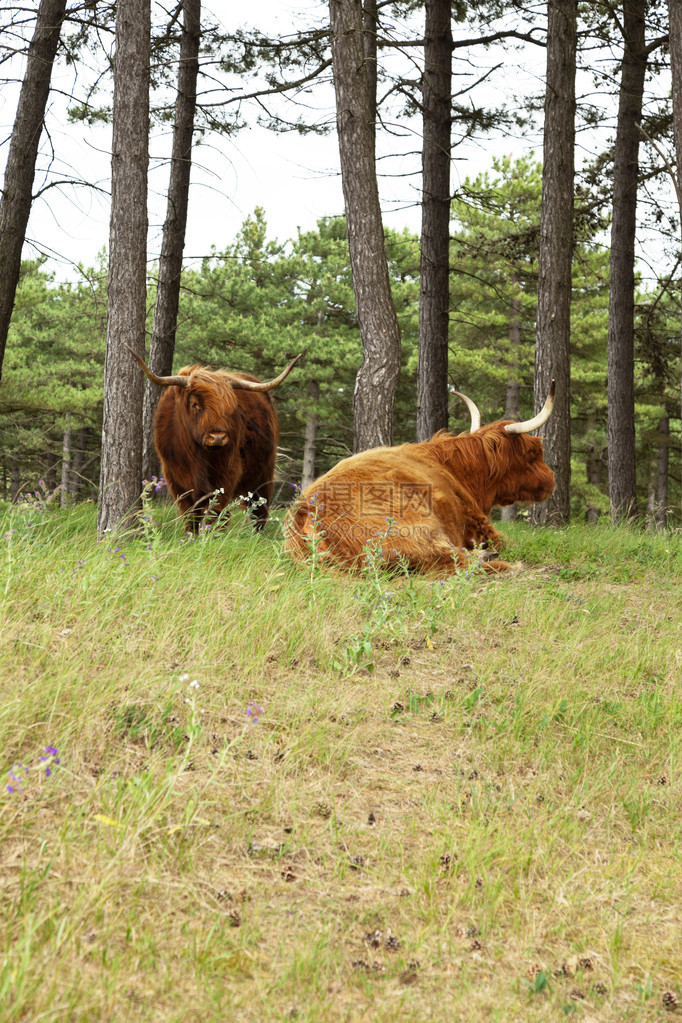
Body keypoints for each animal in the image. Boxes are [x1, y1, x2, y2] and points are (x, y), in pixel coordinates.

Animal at [282, 384, 556, 576]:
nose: (552, 479)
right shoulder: (478, 524)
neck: (454, 469)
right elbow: (508, 540)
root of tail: (303, 511)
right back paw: (501, 563)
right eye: (532, 453)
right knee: (453, 560)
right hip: (417, 531)